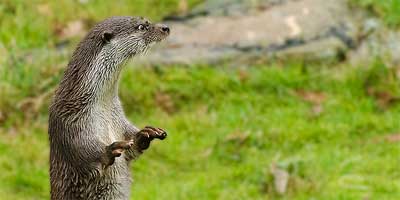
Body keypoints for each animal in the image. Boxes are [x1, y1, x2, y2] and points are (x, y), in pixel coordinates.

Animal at [48, 16, 170, 199]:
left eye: (147, 21)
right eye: (141, 27)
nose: (165, 28)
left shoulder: (118, 116)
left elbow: (132, 147)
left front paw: (145, 134)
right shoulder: (69, 120)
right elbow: (81, 151)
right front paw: (109, 151)